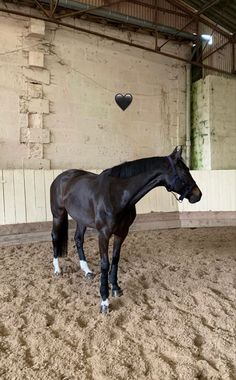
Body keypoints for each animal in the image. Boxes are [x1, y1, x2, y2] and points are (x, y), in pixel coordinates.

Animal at [50, 147, 202, 314]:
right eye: (184, 171)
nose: (198, 195)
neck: (117, 195)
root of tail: (61, 177)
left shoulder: (122, 233)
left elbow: (115, 259)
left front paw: (115, 287)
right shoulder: (103, 234)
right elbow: (105, 263)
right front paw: (104, 301)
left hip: (81, 220)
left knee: (78, 239)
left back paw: (87, 271)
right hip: (58, 215)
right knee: (55, 237)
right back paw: (57, 269)